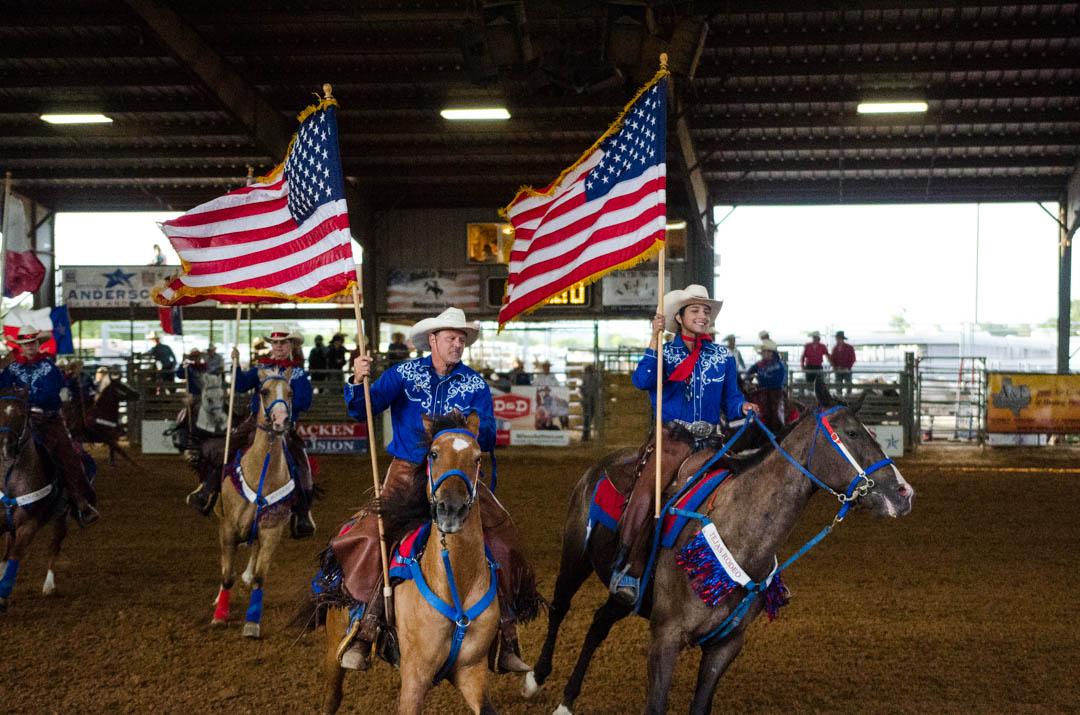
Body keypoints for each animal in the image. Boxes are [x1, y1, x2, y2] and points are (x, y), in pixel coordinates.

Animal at [0, 388, 72, 613]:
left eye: (22, 414)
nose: (5, 448)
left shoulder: (28, 526)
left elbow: (16, 556)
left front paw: (2, 598)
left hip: (60, 518)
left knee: (54, 546)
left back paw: (49, 586)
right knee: (6, 552)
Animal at [208, 369, 295, 639]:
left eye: (290, 393)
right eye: (264, 391)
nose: (281, 420)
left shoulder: (271, 531)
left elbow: (259, 577)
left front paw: (252, 623)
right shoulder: (227, 528)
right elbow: (227, 575)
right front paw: (220, 616)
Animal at [317, 414, 498, 715]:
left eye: (477, 458)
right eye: (433, 454)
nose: (451, 509)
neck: (456, 583)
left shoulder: (472, 671)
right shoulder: (415, 675)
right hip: (334, 645)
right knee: (332, 696)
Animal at [527, 384, 915, 715]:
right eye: (851, 433)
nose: (904, 492)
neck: (738, 533)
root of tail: (600, 466)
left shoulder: (725, 646)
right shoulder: (665, 638)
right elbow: (656, 705)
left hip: (625, 596)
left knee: (598, 623)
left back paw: (567, 701)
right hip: (575, 557)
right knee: (560, 608)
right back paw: (535, 678)